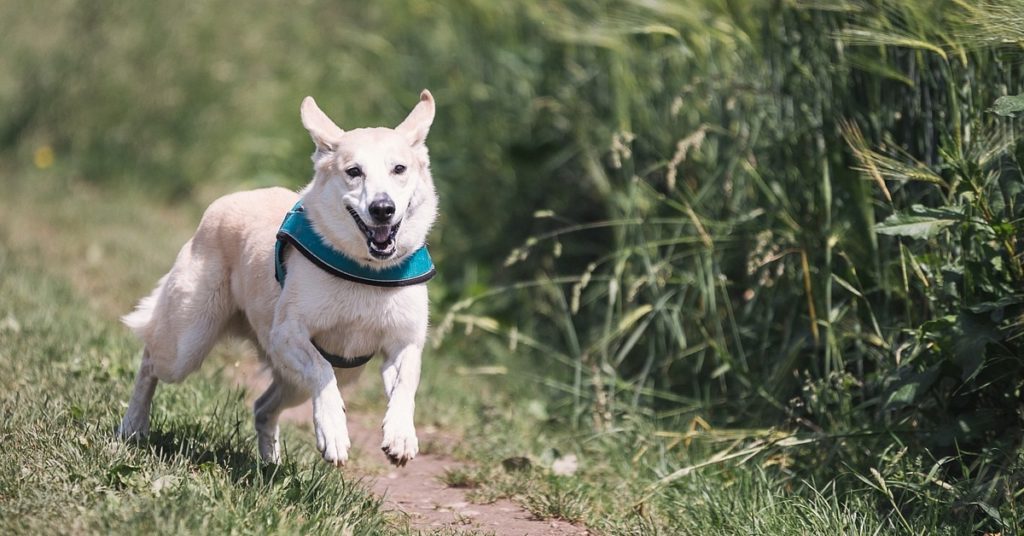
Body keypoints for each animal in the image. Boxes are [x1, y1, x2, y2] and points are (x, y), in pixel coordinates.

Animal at [117, 90, 438, 467]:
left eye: (399, 169)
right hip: (186, 344)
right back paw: (133, 426)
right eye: (354, 172)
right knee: (150, 361)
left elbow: (406, 384)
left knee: (263, 407)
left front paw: (400, 436)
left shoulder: (404, 343)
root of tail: (227, 200)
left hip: (304, 380)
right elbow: (321, 370)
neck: (366, 272)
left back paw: (270, 463)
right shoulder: (287, 334)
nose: (382, 208)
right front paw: (334, 432)